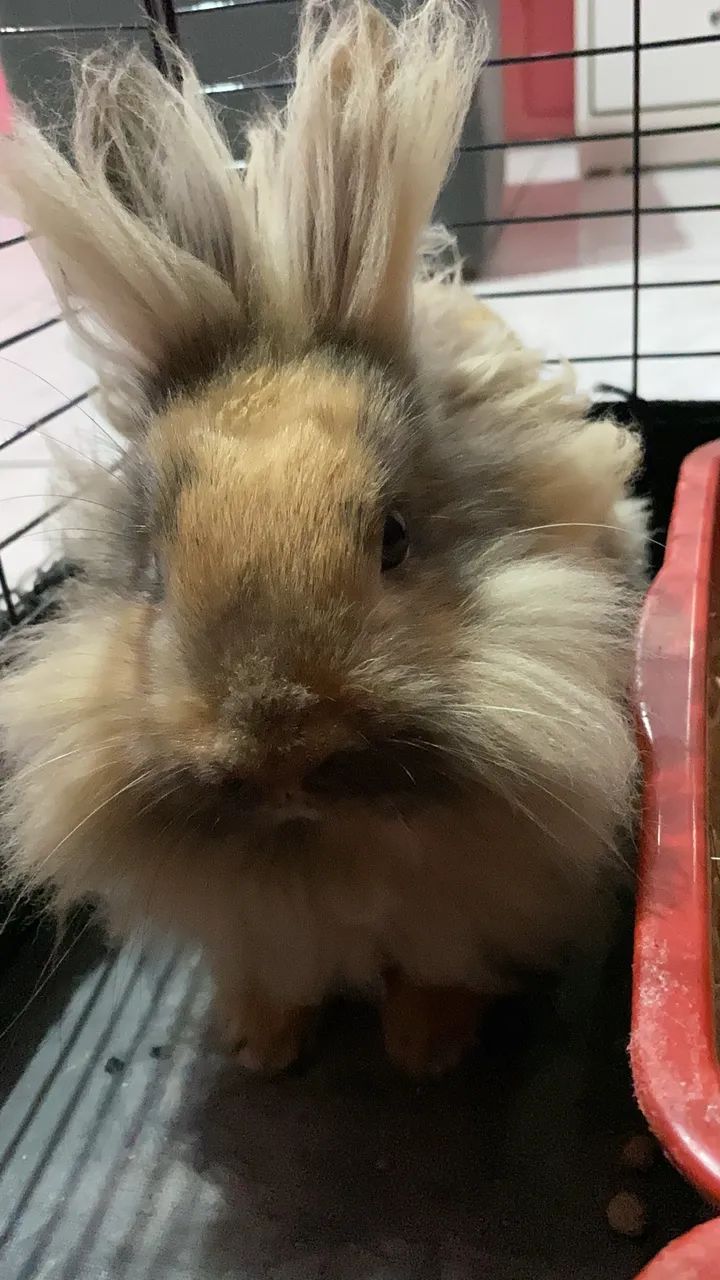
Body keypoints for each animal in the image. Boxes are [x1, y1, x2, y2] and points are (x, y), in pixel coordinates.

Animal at [0, 0, 646, 1076]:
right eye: (154, 575)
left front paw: (426, 1050)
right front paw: (261, 1045)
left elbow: (437, 965)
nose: (279, 751)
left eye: (394, 538)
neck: (323, 843)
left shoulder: (467, 904)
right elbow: (275, 978)